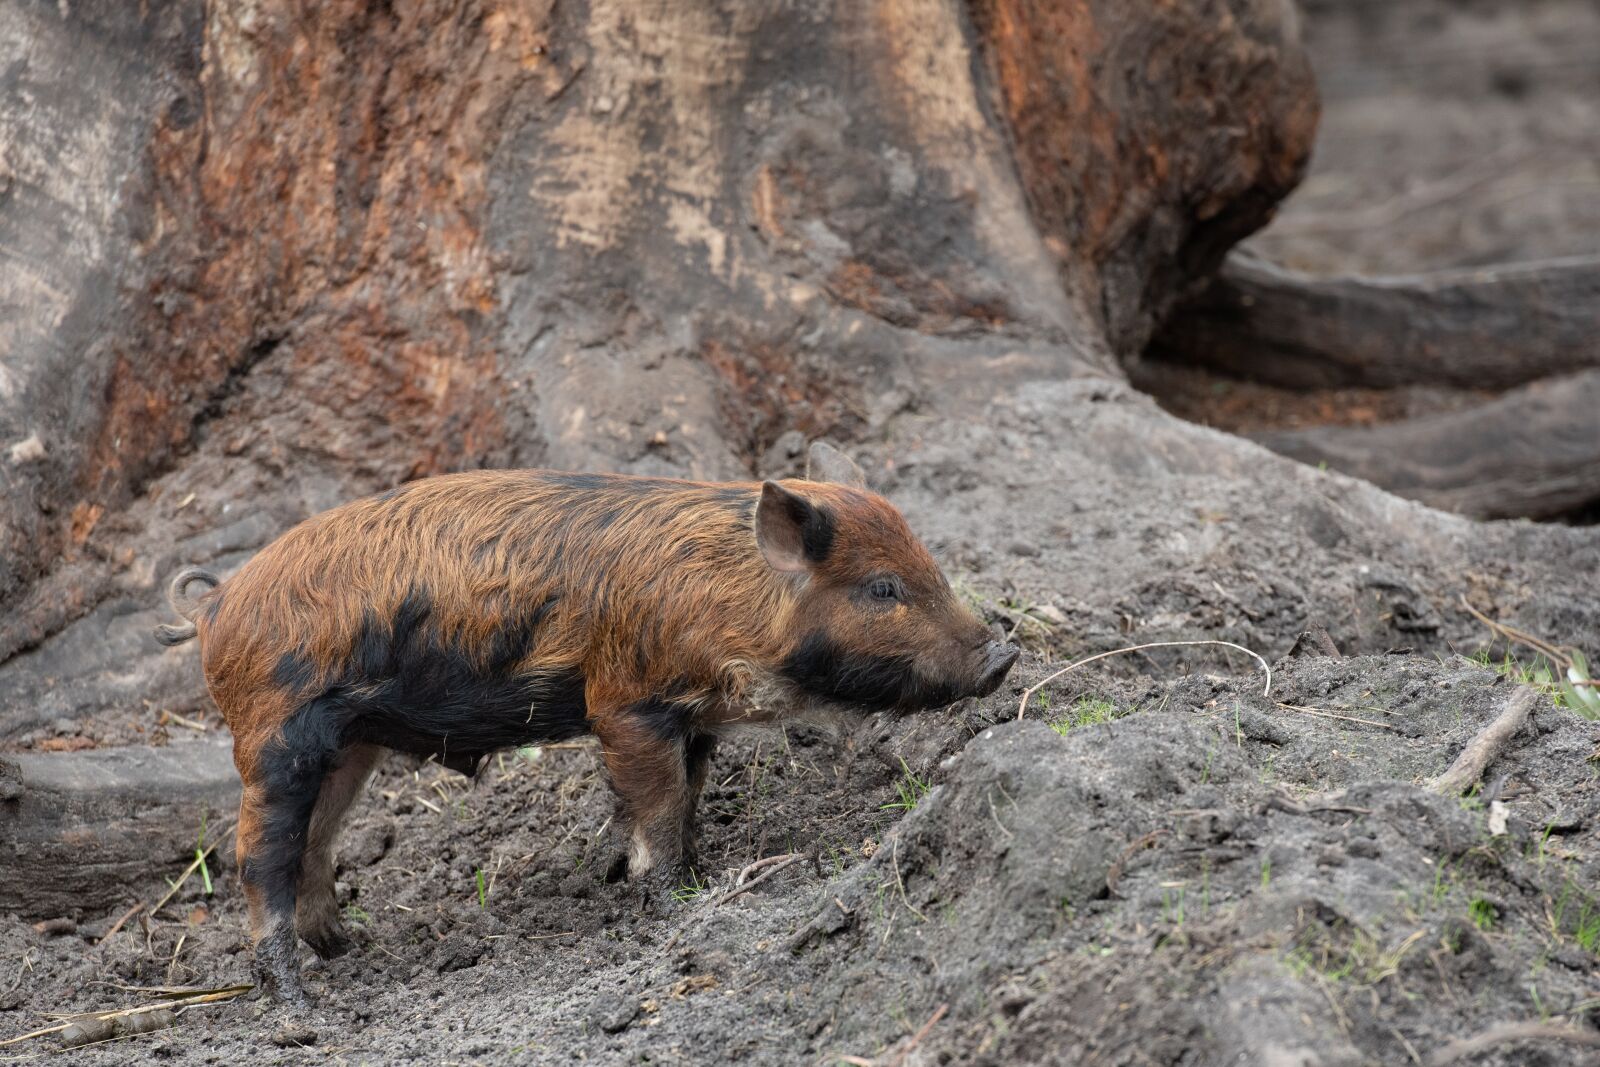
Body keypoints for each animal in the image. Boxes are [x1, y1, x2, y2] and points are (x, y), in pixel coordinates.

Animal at [156, 442, 1018, 1004]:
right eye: (881, 588)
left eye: (925, 565)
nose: (1003, 651)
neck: (732, 596)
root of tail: (216, 603)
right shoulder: (627, 702)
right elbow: (658, 810)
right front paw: (673, 901)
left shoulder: (694, 718)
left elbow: (687, 801)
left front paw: (687, 876)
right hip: (277, 735)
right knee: (258, 856)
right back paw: (296, 1002)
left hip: (352, 744)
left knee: (317, 843)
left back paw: (350, 948)